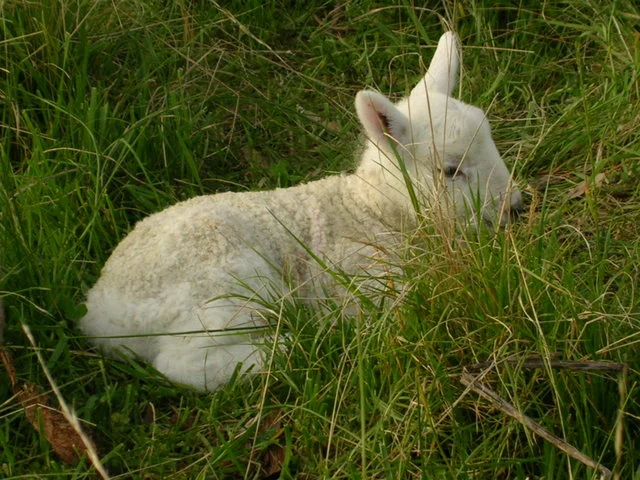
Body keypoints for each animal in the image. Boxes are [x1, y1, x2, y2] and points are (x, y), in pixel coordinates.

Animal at [81, 32, 523, 391]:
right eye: (450, 170)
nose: (516, 208)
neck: (372, 209)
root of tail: (99, 314)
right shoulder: (363, 278)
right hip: (228, 285)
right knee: (184, 364)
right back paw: (298, 346)